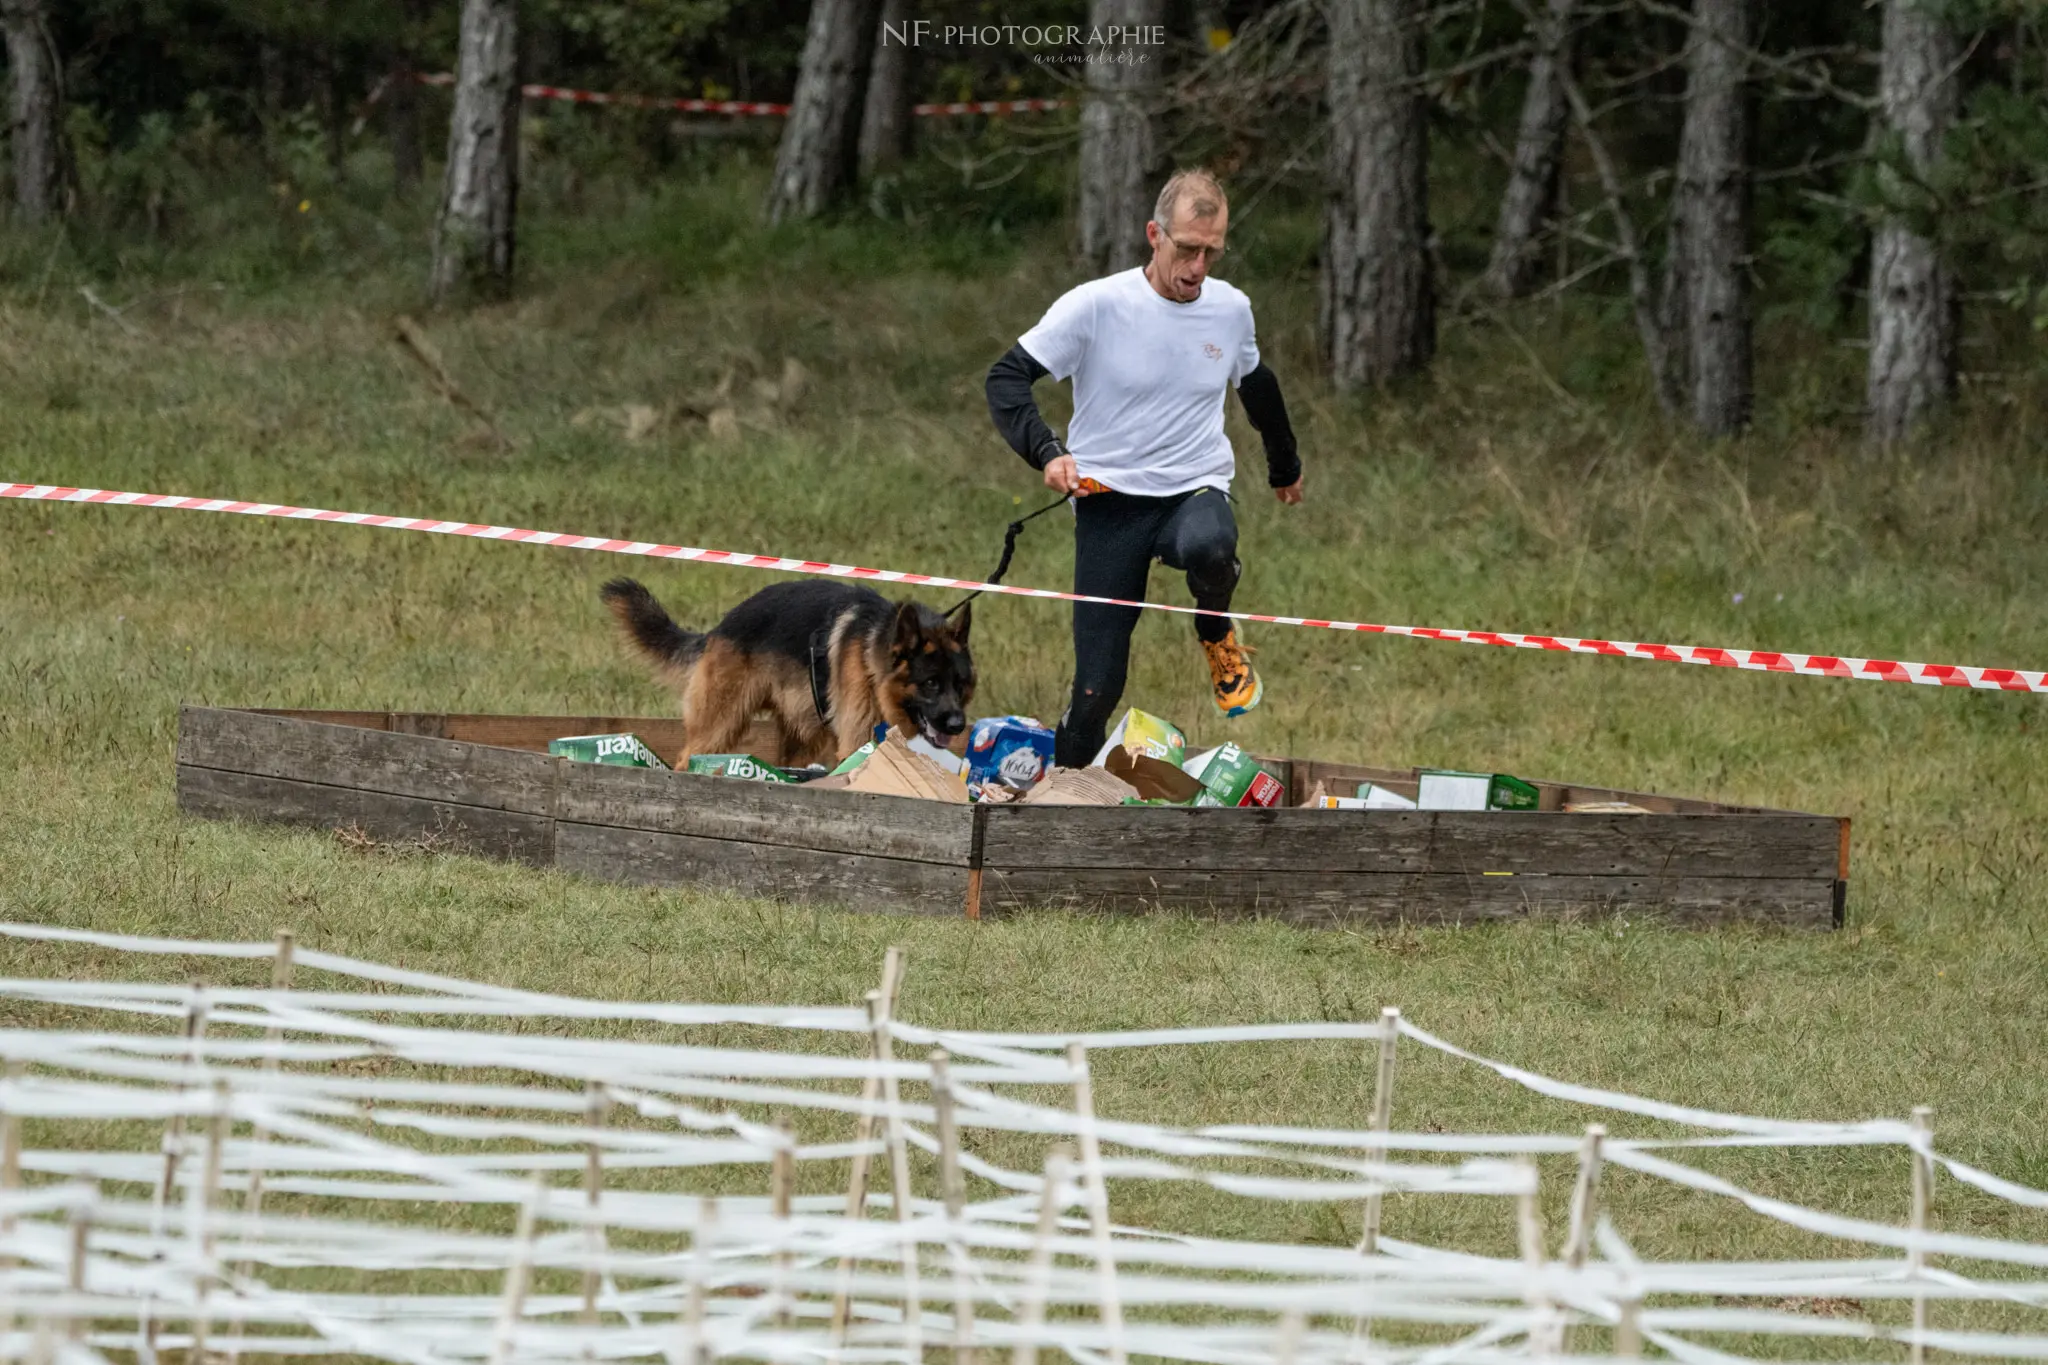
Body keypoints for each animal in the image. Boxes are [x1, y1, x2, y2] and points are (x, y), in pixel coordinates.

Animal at [598, 577, 974, 769]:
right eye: (930, 683)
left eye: (961, 685)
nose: (958, 726)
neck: (874, 654)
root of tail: (723, 625)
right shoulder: (857, 739)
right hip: (720, 725)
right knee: (687, 757)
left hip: (803, 733)